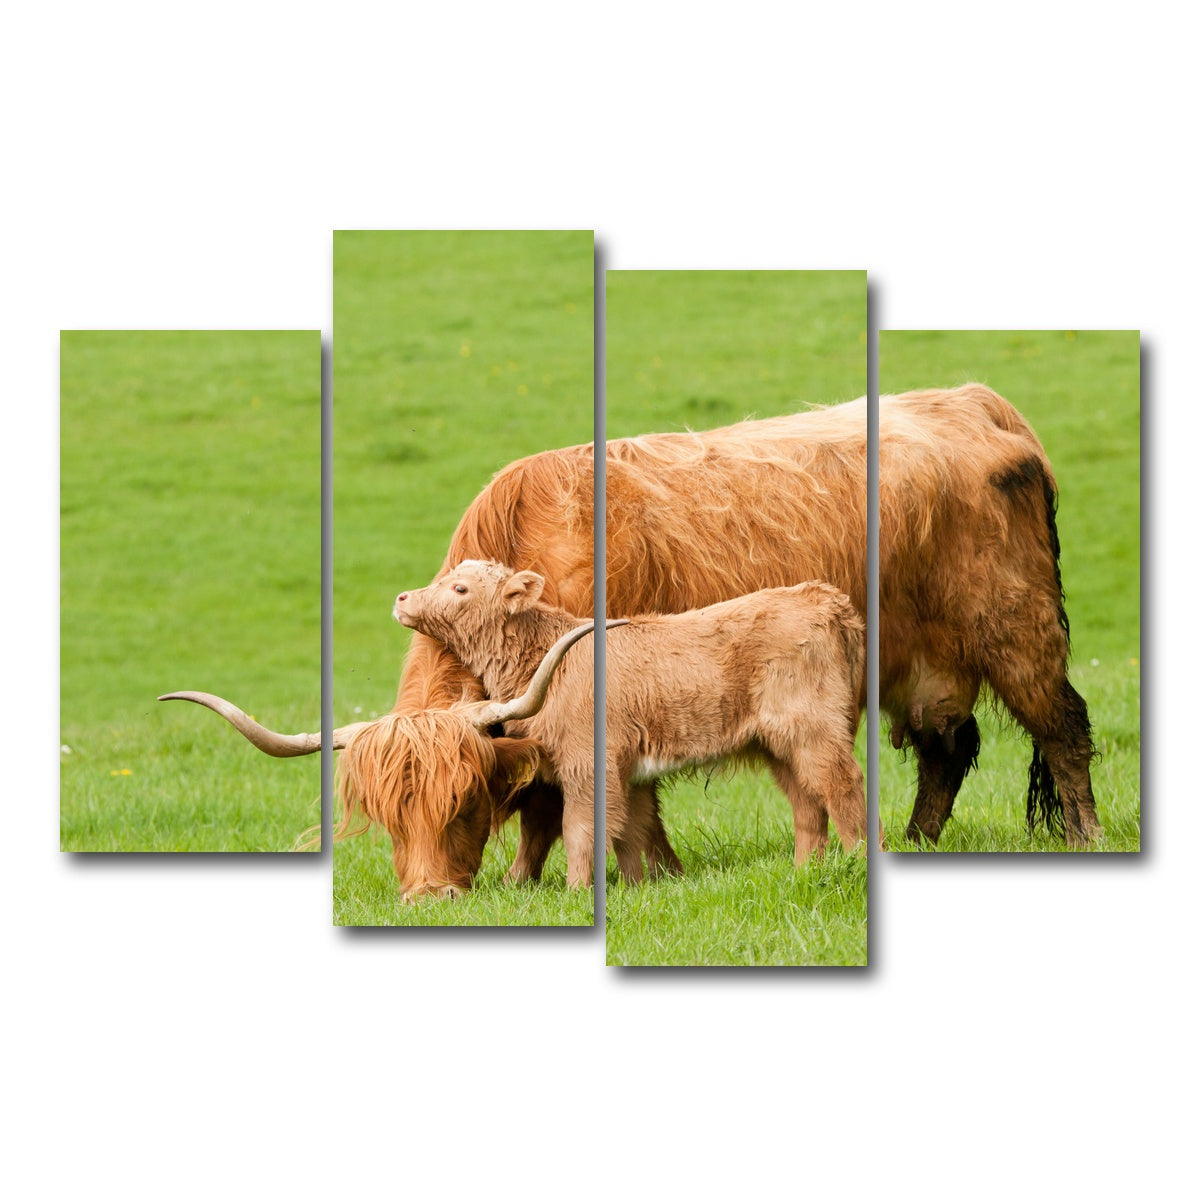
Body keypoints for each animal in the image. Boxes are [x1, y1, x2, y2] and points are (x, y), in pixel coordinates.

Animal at [393, 560, 867, 887]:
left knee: (842, 788)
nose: (402, 598)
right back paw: (805, 872)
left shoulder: (587, 765)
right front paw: (637, 886)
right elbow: (631, 831)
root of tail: (822, 595)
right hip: (780, 745)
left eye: (460, 588)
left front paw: (577, 891)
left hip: (816, 731)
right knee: (807, 804)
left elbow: (581, 829)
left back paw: (859, 859)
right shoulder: (629, 772)